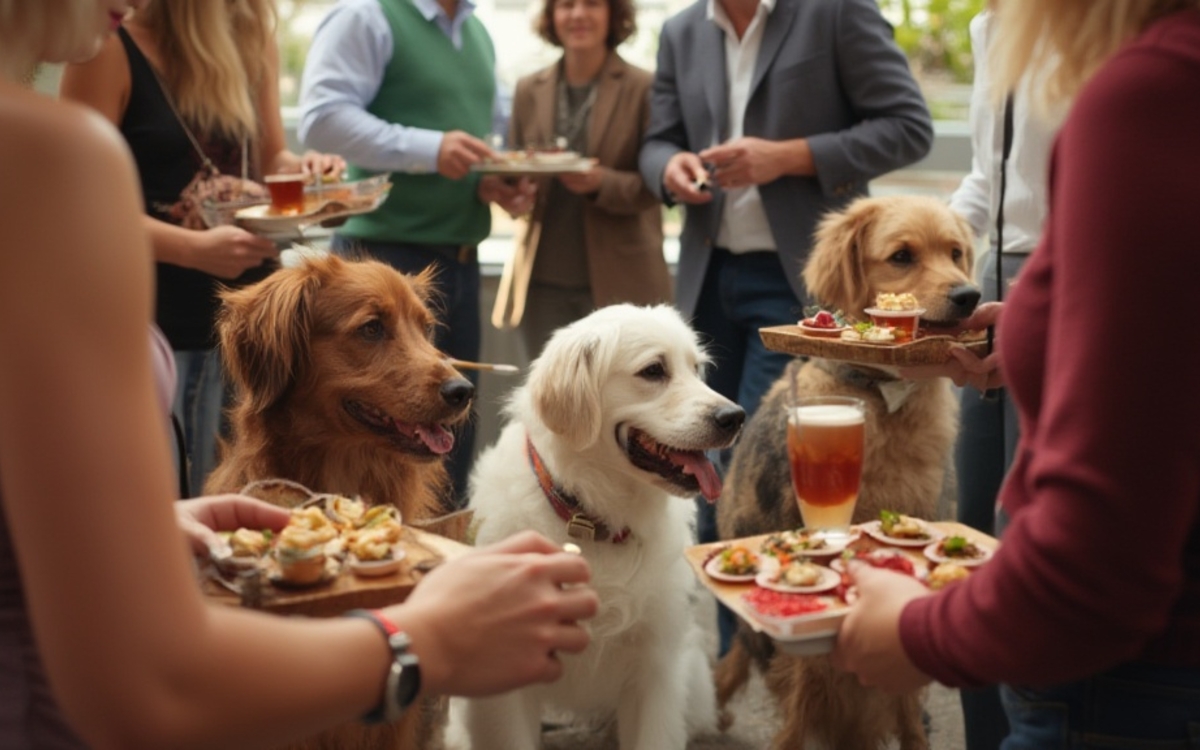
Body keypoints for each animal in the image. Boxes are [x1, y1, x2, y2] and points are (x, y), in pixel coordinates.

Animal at [710, 194, 974, 748]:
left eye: (956, 252)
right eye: (902, 256)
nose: (970, 295)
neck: (886, 397)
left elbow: (908, 711)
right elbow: (796, 709)